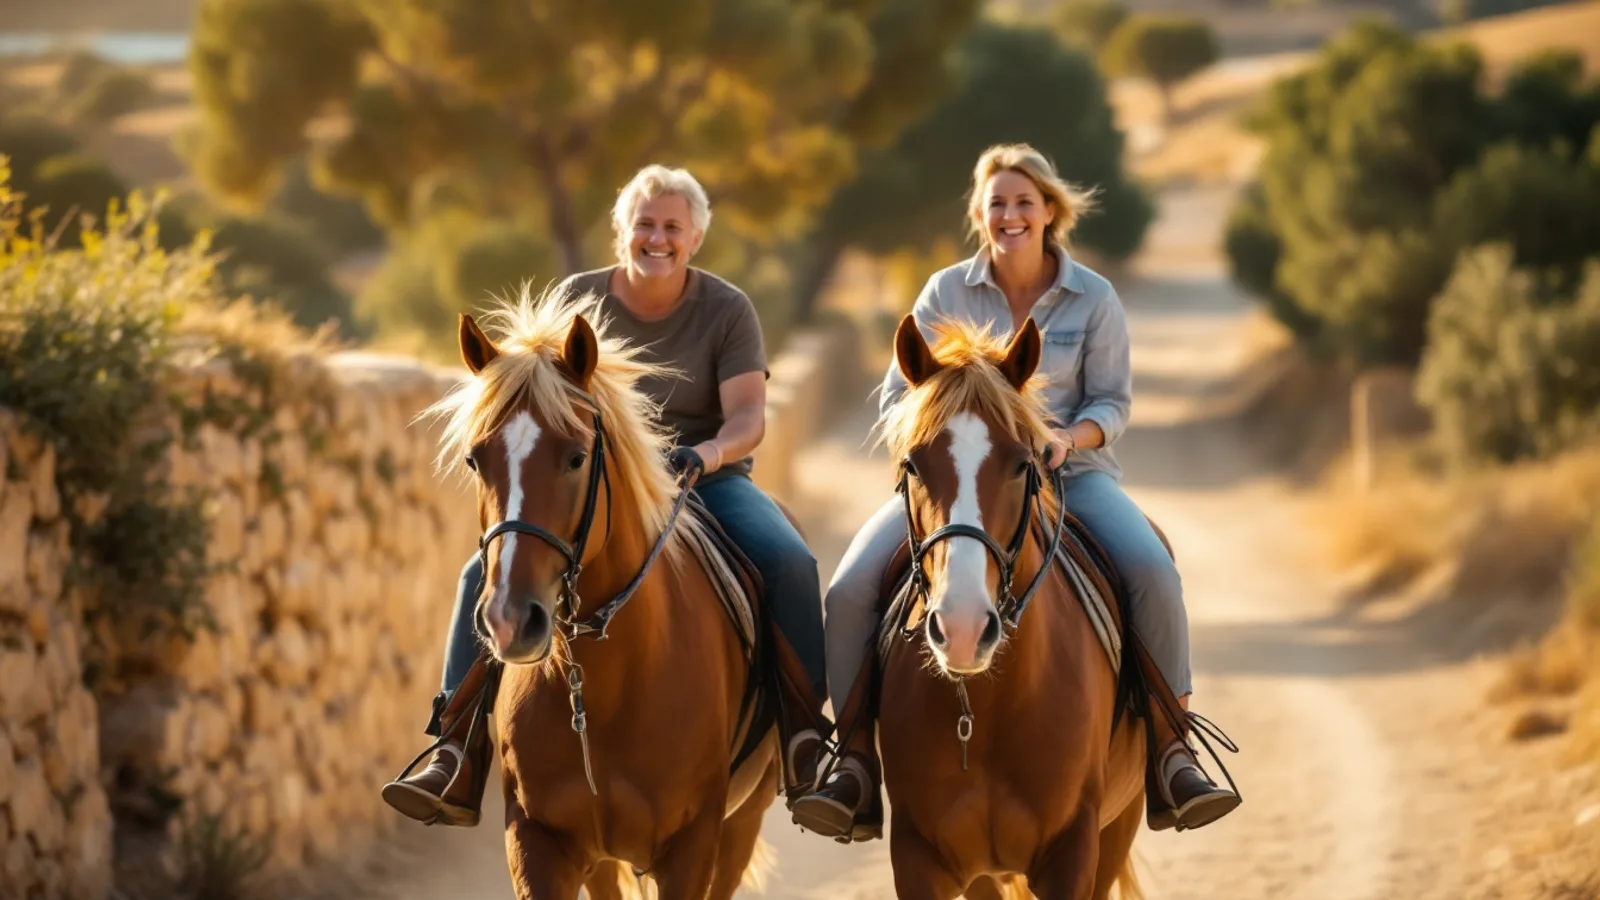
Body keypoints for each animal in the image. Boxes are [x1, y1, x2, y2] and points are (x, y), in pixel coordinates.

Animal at [862, 315, 1149, 899]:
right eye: (913, 465)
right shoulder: (919, 856)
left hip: (1119, 828)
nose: (964, 629)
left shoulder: (1073, 855)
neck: (986, 711)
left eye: (1022, 464)